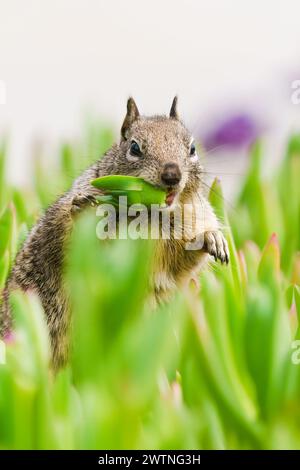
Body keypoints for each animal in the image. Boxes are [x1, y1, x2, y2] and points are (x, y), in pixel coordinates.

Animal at [0, 96, 230, 368]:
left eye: (192, 148)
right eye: (134, 147)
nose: (172, 174)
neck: (150, 215)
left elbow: (183, 262)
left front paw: (212, 238)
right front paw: (85, 208)